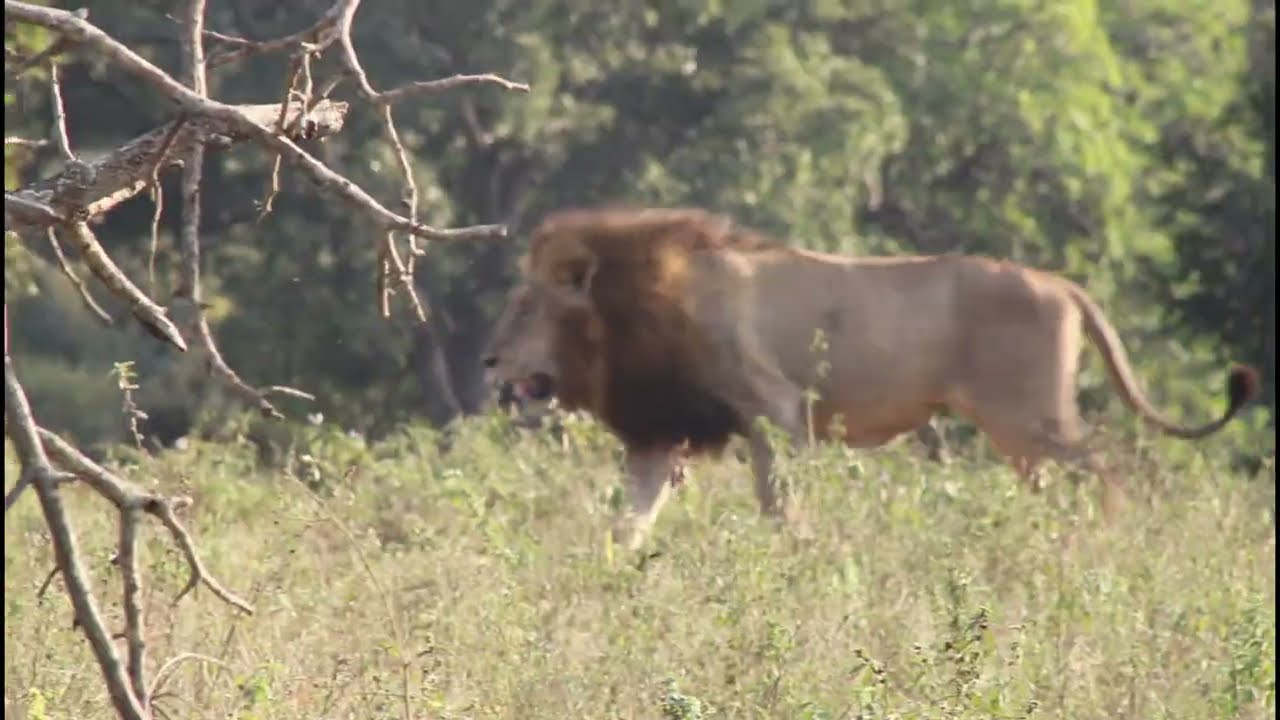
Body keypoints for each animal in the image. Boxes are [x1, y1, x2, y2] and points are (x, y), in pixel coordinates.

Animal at [482, 206, 1260, 550]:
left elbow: (780, 504)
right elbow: (628, 521)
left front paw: (796, 558)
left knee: (1108, 475)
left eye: (522, 307)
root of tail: (1063, 284)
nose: (488, 362)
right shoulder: (657, 435)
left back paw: (1105, 543)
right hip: (1025, 436)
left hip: (1029, 421)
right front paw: (615, 571)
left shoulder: (776, 410)